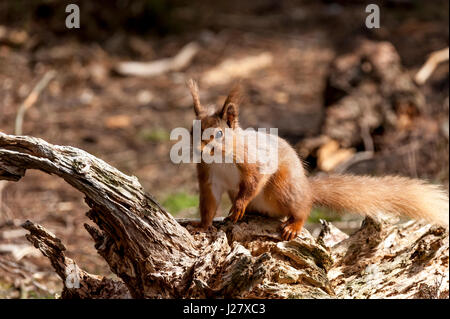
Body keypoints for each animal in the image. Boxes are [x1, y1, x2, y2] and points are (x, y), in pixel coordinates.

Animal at [185, 79, 446, 240]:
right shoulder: (209, 178)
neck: (219, 158)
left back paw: (292, 225)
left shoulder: (254, 160)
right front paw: (202, 226)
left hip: (283, 188)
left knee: (302, 209)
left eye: (220, 134)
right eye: (191, 130)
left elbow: (254, 180)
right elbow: (208, 203)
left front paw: (239, 205)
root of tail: (307, 189)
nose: (198, 149)